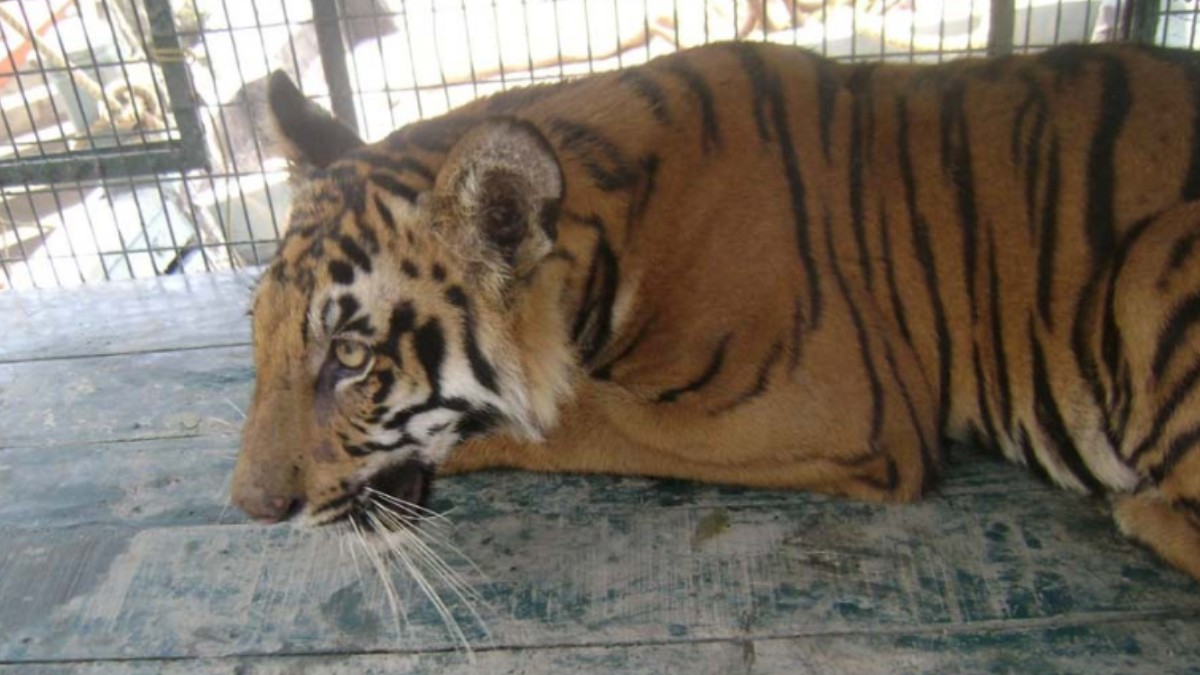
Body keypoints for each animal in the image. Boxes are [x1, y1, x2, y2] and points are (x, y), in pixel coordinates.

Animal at [231, 39, 1200, 583]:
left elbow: (575, 419)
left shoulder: (832, 406)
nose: (250, 510)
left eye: (350, 357)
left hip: (1154, 262)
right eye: (260, 336)